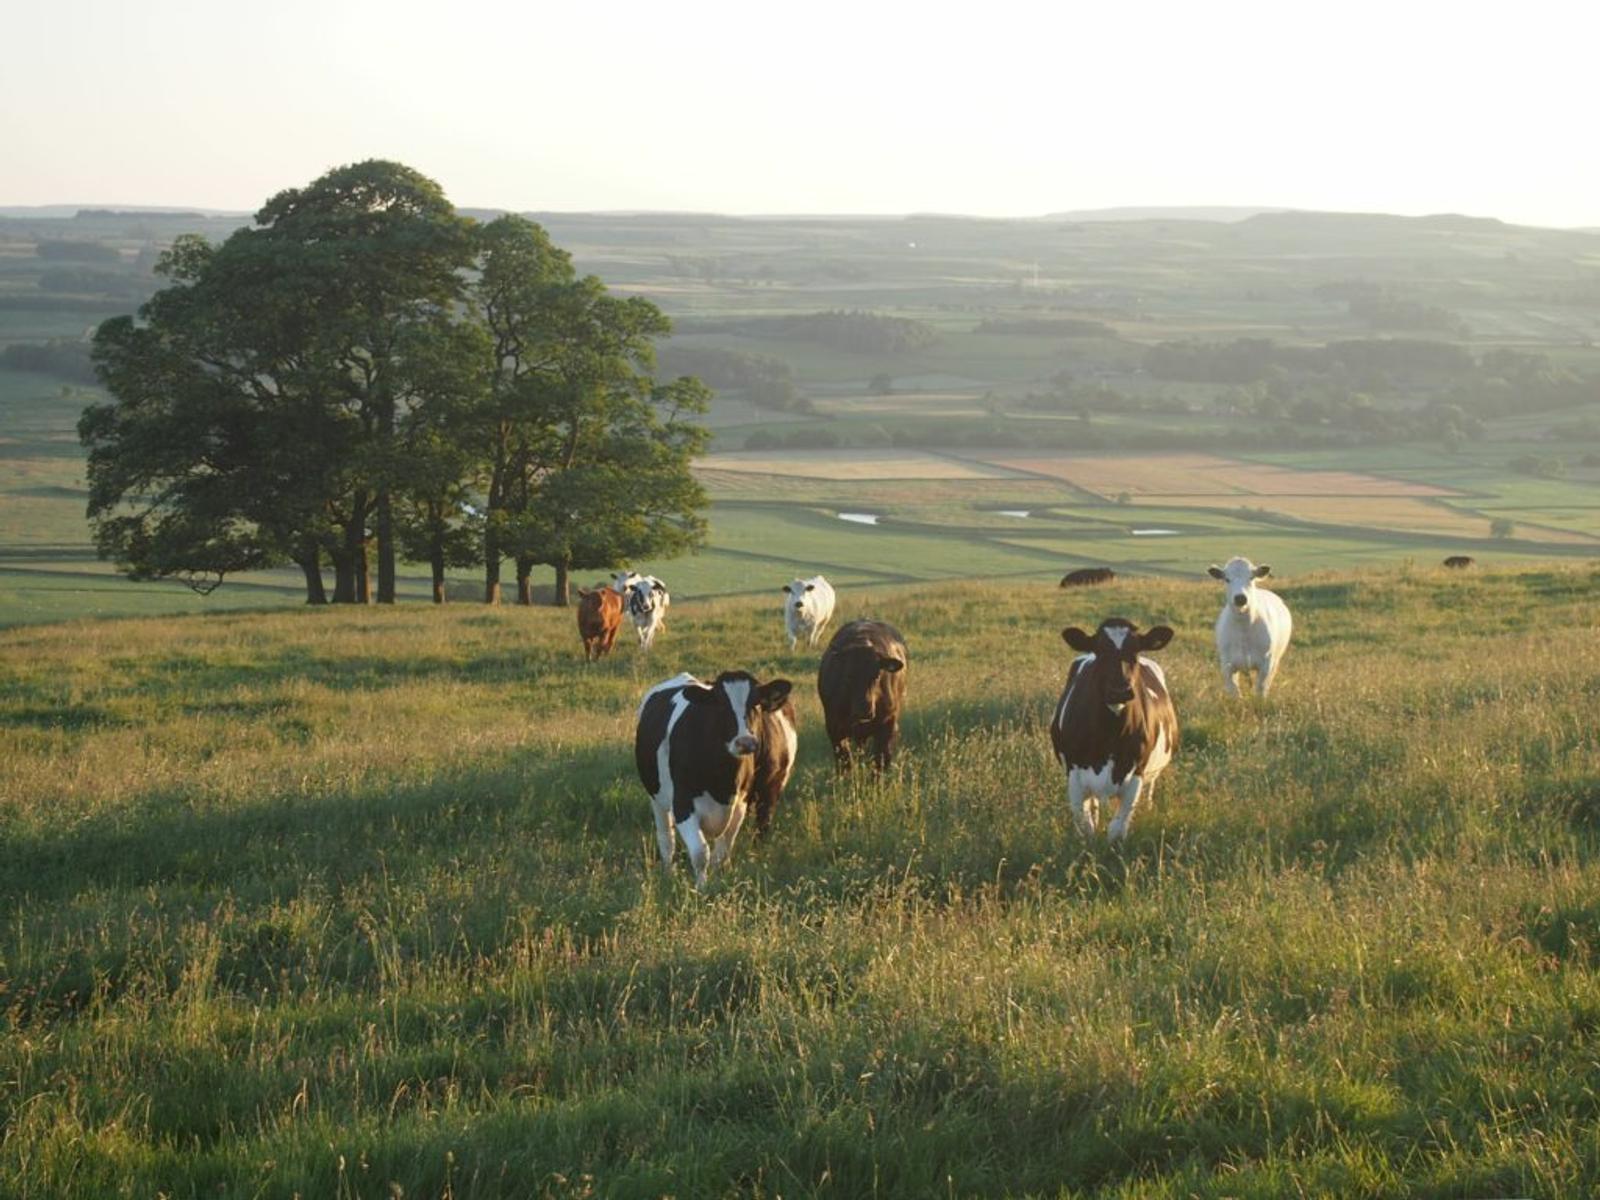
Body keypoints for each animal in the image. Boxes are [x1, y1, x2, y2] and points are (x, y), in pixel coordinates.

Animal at [635, 670, 797, 885]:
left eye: (756, 703)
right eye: (721, 704)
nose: (745, 742)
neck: (722, 780)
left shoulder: (741, 804)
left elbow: (722, 852)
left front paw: (718, 882)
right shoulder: (682, 804)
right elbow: (700, 852)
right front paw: (701, 887)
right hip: (656, 797)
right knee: (666, 840)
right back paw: (669, 874)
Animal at [817, 620, 908, 770]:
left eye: (877, 675)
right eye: (848, 675)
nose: (864, 710)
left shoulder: (888, 724)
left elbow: (881, 761)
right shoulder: (834, 728)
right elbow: (845, 762)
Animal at [1050, 618, 1179, 842]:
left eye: (1135, 651)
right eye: (1100, 651)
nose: (1120, 690)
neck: (1109, 735)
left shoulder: (1136, 774)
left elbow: (1117, 829)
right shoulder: (1074, 775)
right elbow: (1086, 827)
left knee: (1149, 792)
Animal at [1209, 556, 1293, 698]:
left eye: (1251, 577)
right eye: (1227, 579)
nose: (1240, 598)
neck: (1243, 630)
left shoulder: (1267, 663)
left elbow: (1261, 690)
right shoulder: (1226, 665)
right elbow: (1235, 693)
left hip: (1276, 660)